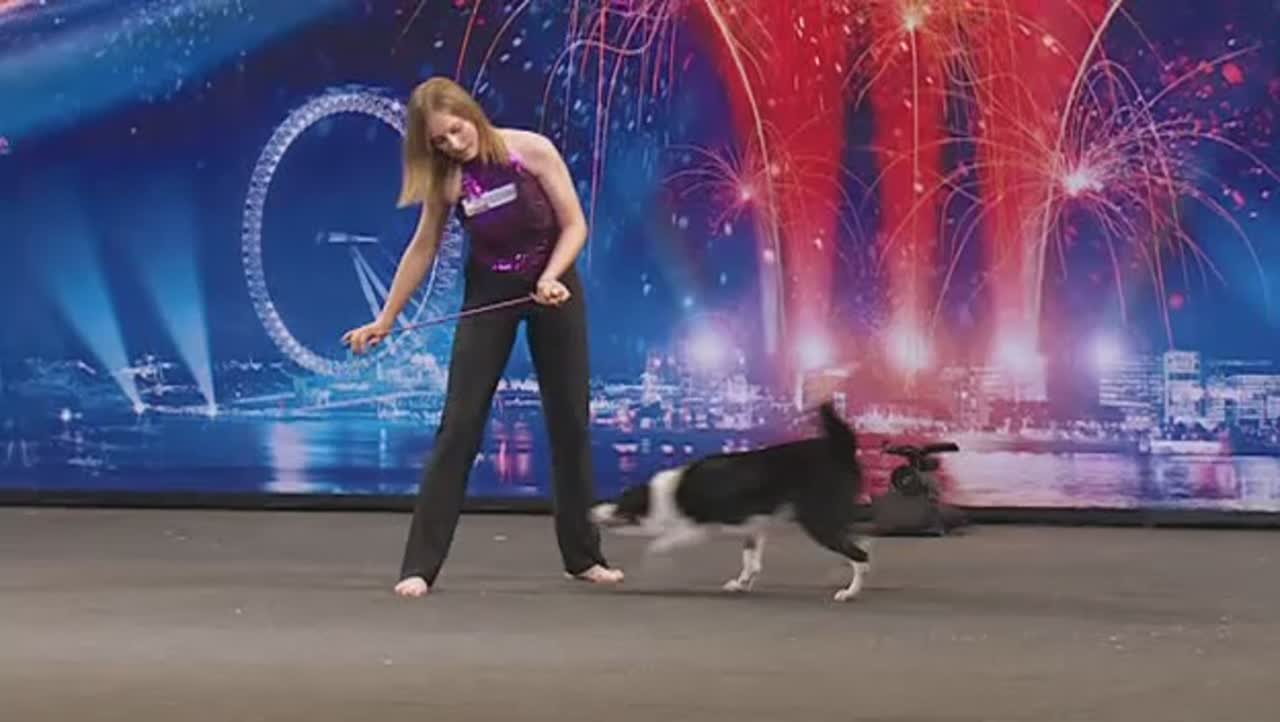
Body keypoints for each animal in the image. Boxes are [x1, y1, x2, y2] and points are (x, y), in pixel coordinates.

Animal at [590, 402, 873, 602]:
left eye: (619, 503)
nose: (591, 510)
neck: (665, 494)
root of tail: (840, 450)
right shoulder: (754, 525)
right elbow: (752, 562)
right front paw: (741, 583)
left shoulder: (695, 529)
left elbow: (658, 545)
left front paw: (650, 568)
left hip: (818, 520)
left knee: (860, 555)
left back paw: (850, 592)